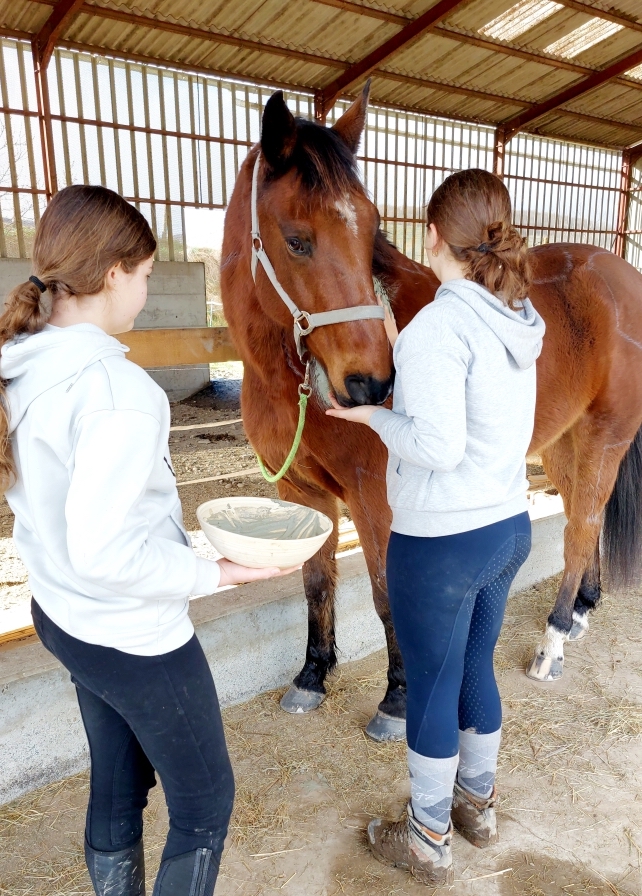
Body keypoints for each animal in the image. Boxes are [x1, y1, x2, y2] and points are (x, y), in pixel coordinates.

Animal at [220, 85, 642, 743]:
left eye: (372, 230)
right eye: (296, 240)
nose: (374, 383)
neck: (288, 382)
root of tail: (623, 275)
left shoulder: (375, 497)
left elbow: (386, 592)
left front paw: (397, 700)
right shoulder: (302, 494)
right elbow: (316, 583)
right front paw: (312, 676)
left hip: (604, 437)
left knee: (581, 527)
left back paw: (552, 641)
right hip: (563, 443)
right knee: (584, 515)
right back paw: (579, 611)